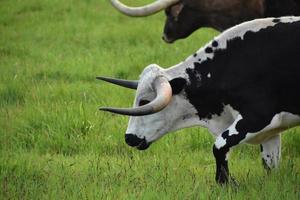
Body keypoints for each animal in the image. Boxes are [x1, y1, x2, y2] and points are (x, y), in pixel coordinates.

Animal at [99, 16, 300, 184]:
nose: (129, 138)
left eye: (144, 102)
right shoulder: (271, 133)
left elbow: (219, 146)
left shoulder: (257, 117)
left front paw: (226, 183)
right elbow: (270, 165)